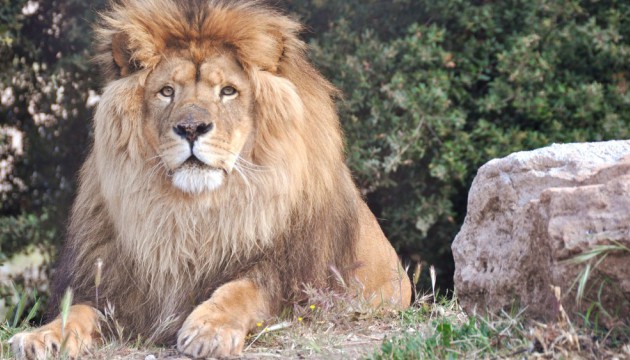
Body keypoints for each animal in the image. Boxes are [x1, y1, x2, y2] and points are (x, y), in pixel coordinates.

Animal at [11, 1, 414, 358]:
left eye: (228, 91)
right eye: (167, 92)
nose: (191, 128)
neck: (192, 214)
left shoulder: (288, 281)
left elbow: (241, 291)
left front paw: (209, 330)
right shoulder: (112, 290)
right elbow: (76, 311)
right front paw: (41, 337)